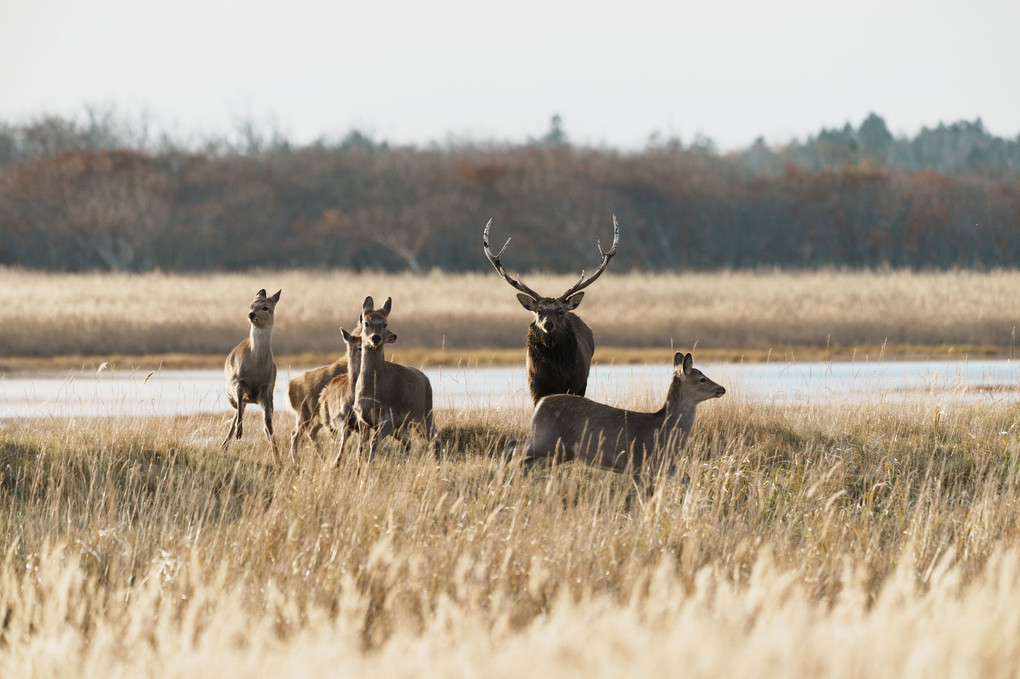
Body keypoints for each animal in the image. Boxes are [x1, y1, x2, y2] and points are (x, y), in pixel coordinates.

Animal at [222, 287, 283, 462]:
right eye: (251, 304)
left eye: (266, 307)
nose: (251, 314)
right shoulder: (238, 381)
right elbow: (239, 409)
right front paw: (239, 433)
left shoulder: (267, 389)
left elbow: (268, 423)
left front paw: (277, 457)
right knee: (237, 413)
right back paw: (225, 446)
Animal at [354, 295, 438, 454]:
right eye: (365, 322)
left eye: (385, 323)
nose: (376, 338)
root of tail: (426, 379)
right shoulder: (362, 418)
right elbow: (361, 447)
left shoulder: (388, 418)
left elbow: (373, 443)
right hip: (402, 427)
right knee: (408, 441)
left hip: (424, 415)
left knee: (436, 436)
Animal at [481, 215, 616, 401]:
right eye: (539, 311)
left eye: (560, 311)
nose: (548, 324)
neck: (555, 374)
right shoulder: (535, 385)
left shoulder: (576, 384)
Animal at [505, 350, 722, 489]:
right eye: (702, 379)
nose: (722, 389)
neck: (664, 430)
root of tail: (540, 403)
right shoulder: (639, 465)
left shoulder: (666, 465)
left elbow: (689, 480)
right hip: (546, 439)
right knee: (512, 445)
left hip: (559, 452)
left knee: (525, 464)